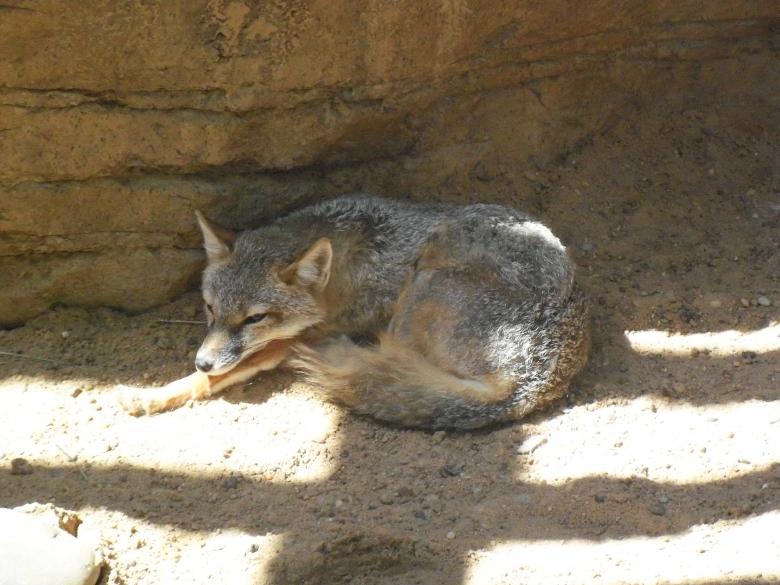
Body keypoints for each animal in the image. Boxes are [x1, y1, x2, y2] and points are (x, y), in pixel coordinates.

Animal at [119, 195, 589, 430]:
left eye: (255, 318)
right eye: (209, 308)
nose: (202, 358)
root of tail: (534, 380)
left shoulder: (311, 332)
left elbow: (234, 367)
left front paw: (157, 393)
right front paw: (167, 387)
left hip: (418, 291)